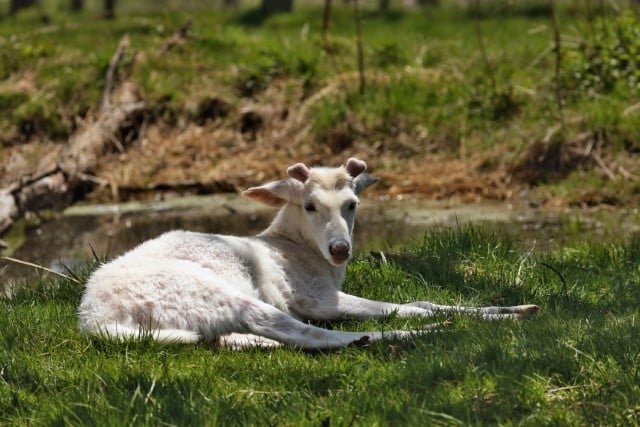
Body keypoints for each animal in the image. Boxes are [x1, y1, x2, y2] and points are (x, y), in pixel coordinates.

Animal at [80, 159, 540, 350]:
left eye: (353, 204)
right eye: (309, 205)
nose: (340, 248)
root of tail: (96, 318)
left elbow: (421, 299)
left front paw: (515, 307)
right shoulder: (315, 297)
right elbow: (407, 307)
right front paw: (495, 315)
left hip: (204, 315)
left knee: (237, 340)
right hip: (213, 293)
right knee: (317, 337)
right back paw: (427, 334)